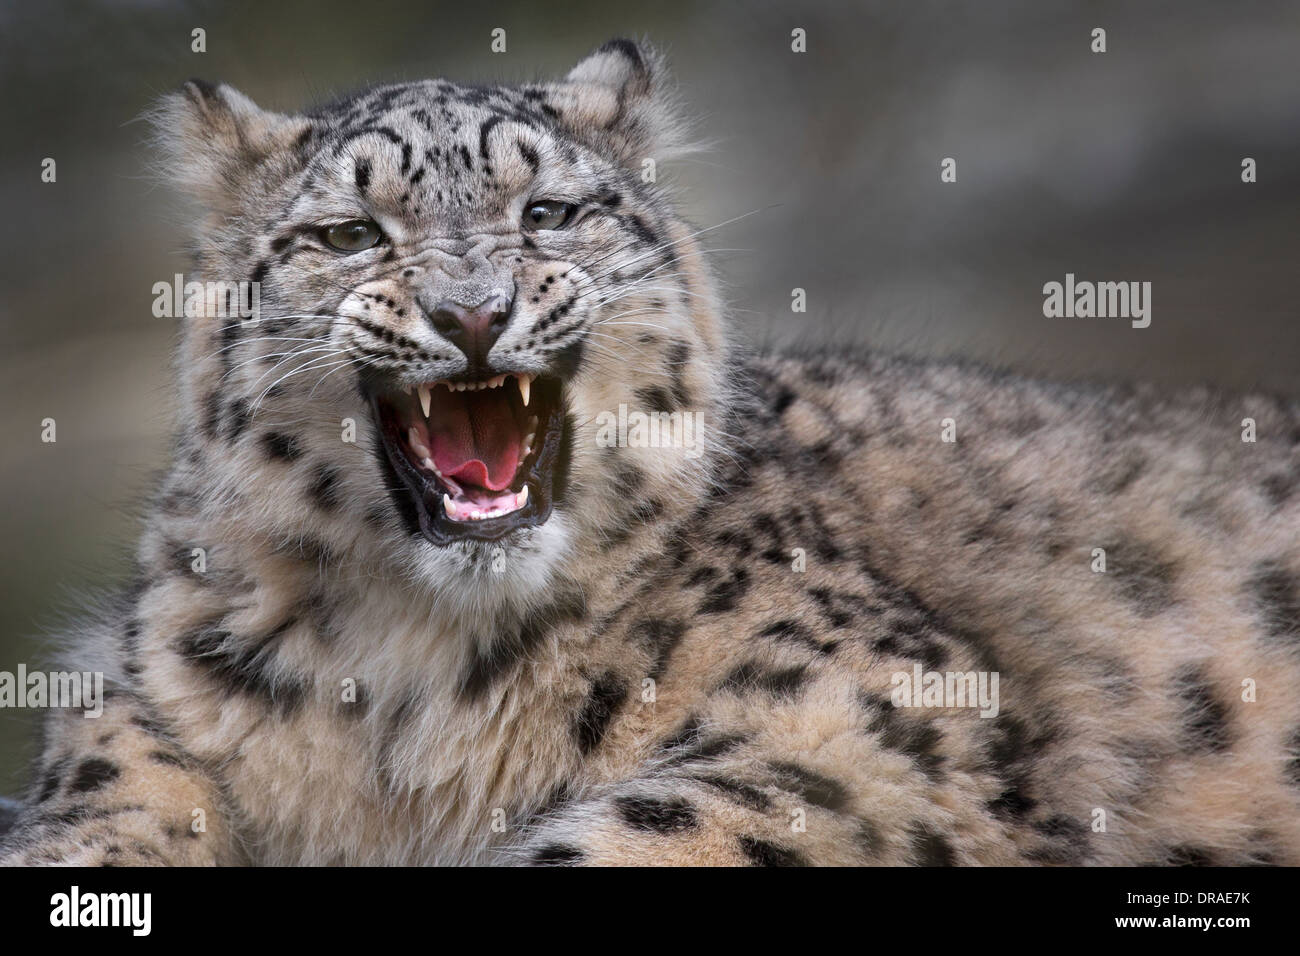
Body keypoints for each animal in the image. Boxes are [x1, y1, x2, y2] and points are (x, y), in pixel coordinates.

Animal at [2, 38, 1298, 866]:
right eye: (349, 233)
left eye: (549, 213)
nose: (471, 310)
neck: (410, 674)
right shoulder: (142, 672)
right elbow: (112, 772)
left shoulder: (871, 721)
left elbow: (656, 828)